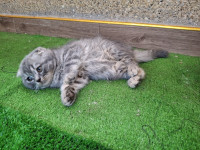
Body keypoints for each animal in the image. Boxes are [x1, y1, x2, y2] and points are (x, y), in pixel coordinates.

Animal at [17, 36, 168, 106]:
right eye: (29, 79)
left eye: (38, 68)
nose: (37, 79)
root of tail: (129, 49)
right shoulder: (82, 76)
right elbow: (72, 85)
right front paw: (67, 96)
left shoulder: (73, 53)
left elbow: (69, 72)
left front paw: (66, 79)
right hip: (114, 70)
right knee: (140, 71)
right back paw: (134, 79)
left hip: (116, 51)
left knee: (132, 61)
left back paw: (132, 70)